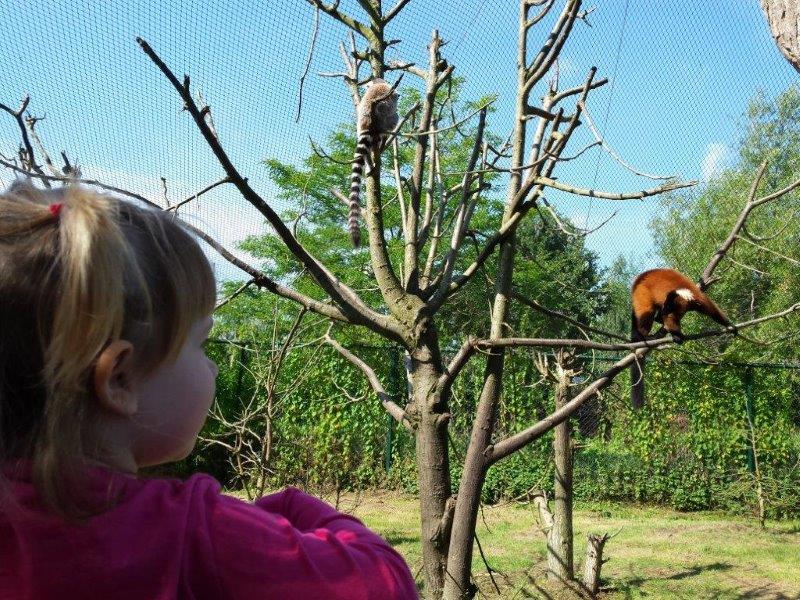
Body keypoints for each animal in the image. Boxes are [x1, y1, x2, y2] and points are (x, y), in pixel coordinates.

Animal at [628, 270, 736, 410]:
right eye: (666, 306)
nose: (664, 310)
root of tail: (638, 281)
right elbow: (669, 319)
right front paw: (676, 334)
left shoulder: (698, 299)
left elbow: (713, 311)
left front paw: (729, 325)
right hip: (642, 293)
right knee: (646, 311)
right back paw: (644, 336)